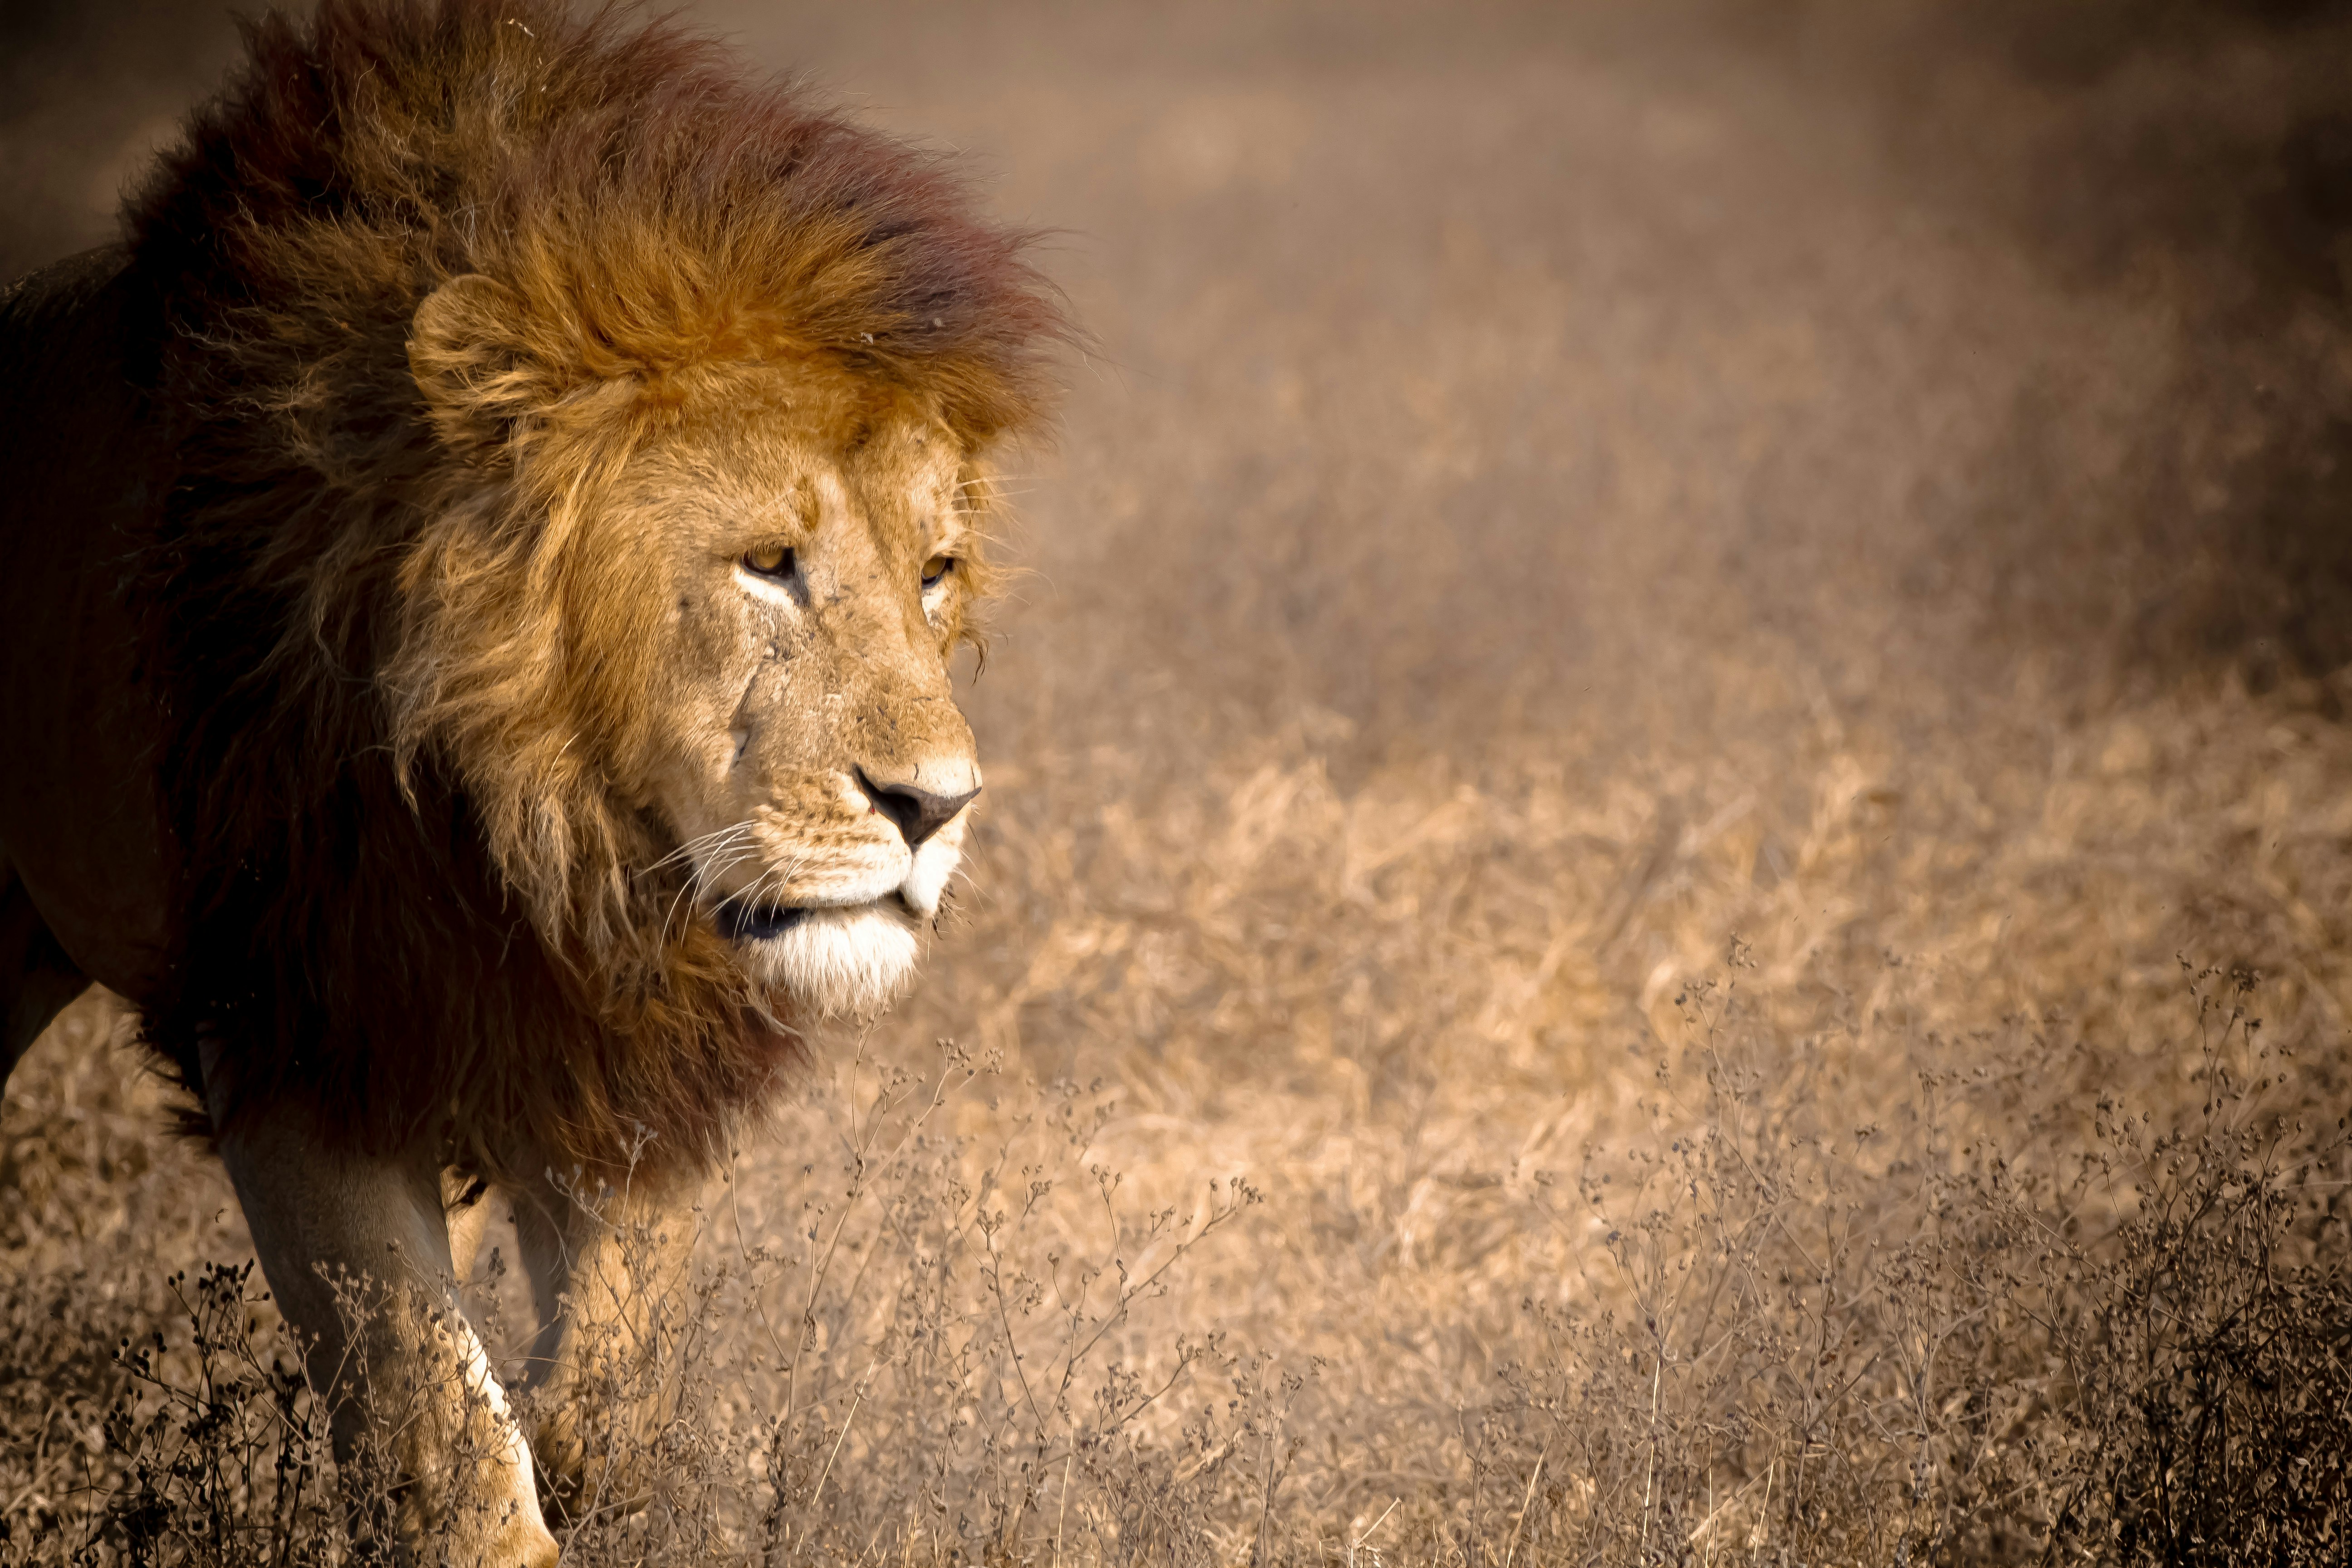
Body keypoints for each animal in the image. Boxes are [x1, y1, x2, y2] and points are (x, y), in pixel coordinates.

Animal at [0, 1, 1063, 1559]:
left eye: (933, 574)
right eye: (767, 563)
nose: (937, 808)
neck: (550, 833)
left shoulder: (620, 1066)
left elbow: (614, 1406)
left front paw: (588, 1467)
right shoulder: (298, 1035)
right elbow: (443, 1442)